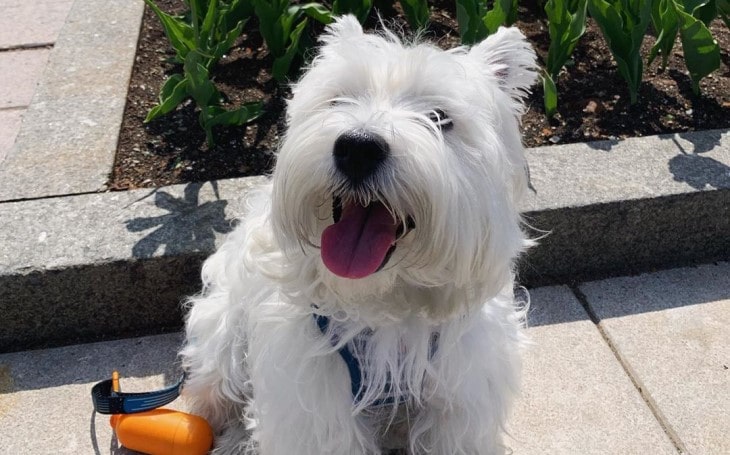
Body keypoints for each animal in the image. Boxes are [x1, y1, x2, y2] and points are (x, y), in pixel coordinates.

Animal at [182, 14, 536, 455]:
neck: (384, 302)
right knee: (212, 391)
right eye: (338, 100)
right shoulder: (314, 407)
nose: (359, 147)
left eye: (440, 118)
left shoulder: (458, 405)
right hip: (224, 334)